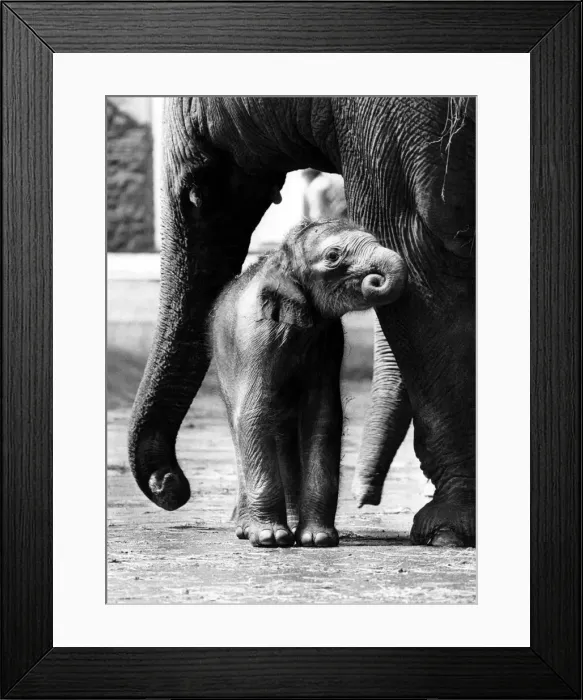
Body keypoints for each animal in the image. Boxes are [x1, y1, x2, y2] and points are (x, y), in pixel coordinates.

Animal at [211, 219, 407, 547]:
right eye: (333, 256)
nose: (374, 278)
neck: (283, 260)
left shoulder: (329, 340)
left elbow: (324, 416)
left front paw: (318, 539)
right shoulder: (256, 337)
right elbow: (253, 414)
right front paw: (270, 539)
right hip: (223, 364)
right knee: (242, 425)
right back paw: (246, 530)